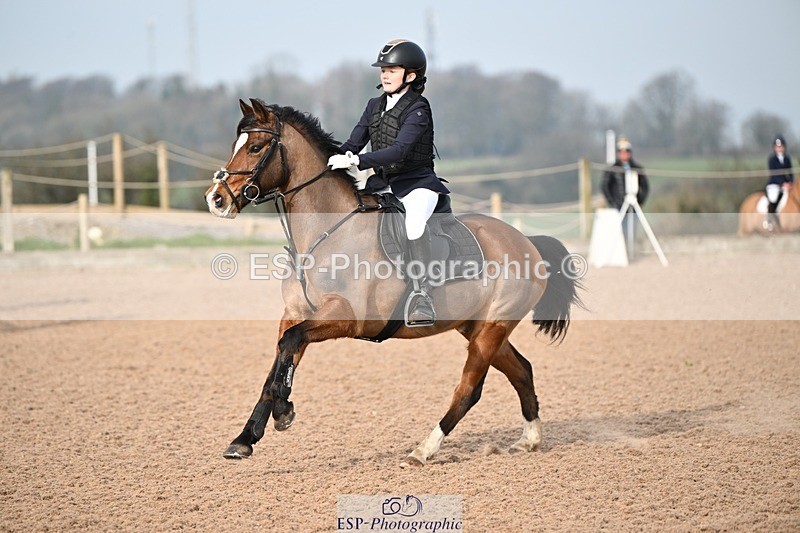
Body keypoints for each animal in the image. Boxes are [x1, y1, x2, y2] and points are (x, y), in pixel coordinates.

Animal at [204, 98, 582, 466]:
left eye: (255, 147)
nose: (215, 199)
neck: (326, 233)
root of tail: (526, 242)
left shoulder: (345, 318)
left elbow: (289, 345)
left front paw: (283, 412)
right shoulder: (296, 313)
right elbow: (278, 362)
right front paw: (245, 438)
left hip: (491, 330)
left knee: (469, 390)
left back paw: (423, 450)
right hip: (479, 328)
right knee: (522, 371)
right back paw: (529, 440)